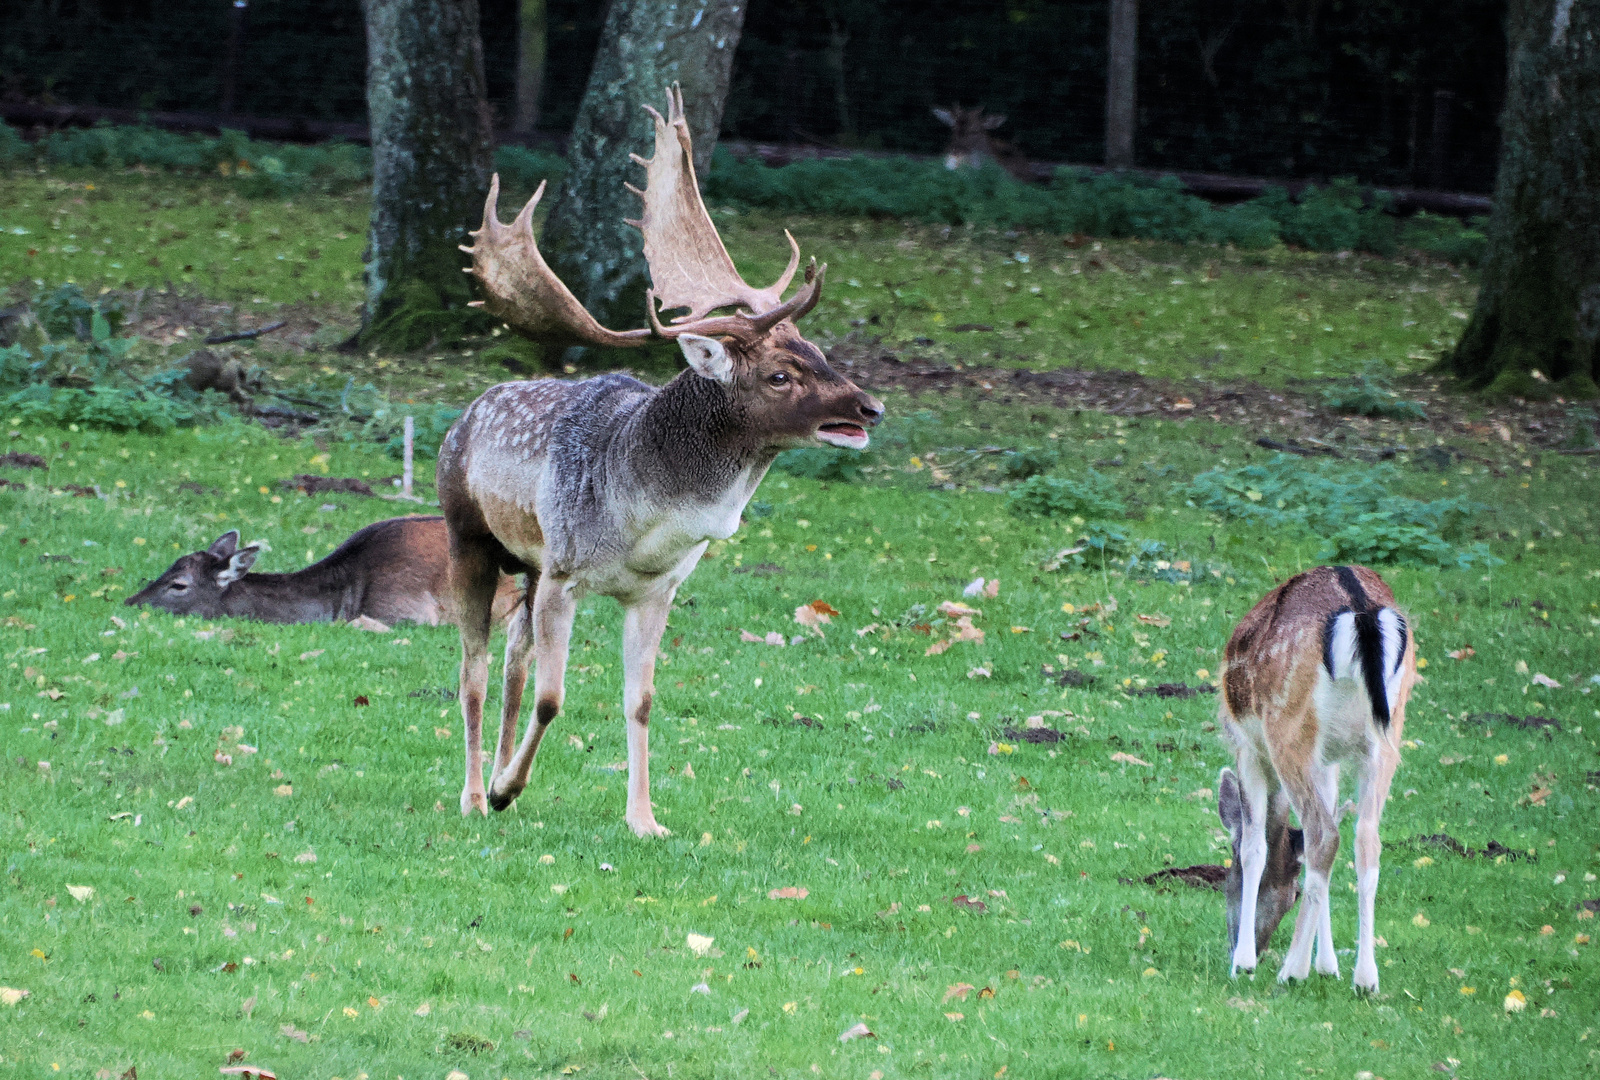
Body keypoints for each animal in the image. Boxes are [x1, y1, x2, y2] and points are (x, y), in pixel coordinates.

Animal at [444, 86, 883, 838]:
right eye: (779, 376)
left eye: (820, 352)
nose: (869, 408)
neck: (644, 527)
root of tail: (466, 414)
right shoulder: (565, 570)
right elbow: (556, 697)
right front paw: (505, 790)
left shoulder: (656, 590)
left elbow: (640, 701)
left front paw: (645, 820)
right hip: (469, 537)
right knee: (473, 666)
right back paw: (478, 795)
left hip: (526, 564)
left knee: (511, 661)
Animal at [1209, 566, 1414, 998]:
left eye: (1226, 879)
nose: (1247, 943)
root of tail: (1362, 613)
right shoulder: (1327, 759)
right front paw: (1329, 965)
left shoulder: (1247, 747)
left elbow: (1255, 846)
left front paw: (1244, 964)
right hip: (1388, 733)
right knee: (1365, 837)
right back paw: (1365, 978)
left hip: (1287, 724)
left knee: (1324, 834)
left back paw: (1293, 970)